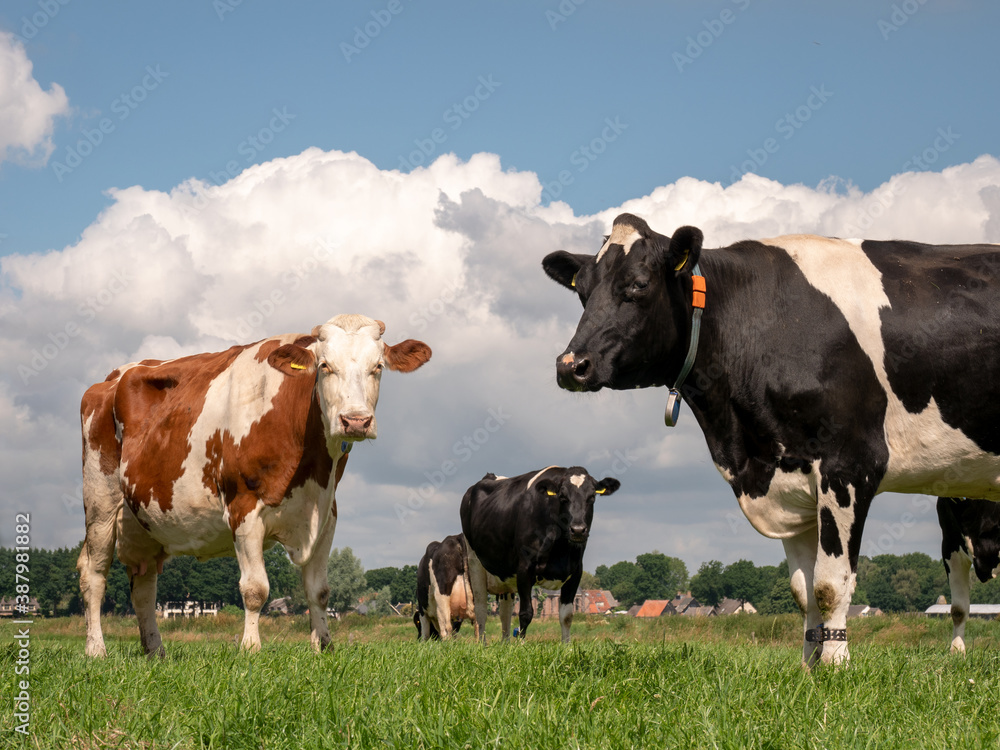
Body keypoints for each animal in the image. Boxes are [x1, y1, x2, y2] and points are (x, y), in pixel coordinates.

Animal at [77, 314, 430, 656]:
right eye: (325, 366)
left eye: (378, 366)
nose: (356, 421)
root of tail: (114, 376)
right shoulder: (244, 509)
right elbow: (255, 589)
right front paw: (250, 648)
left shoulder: (326, 514)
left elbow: (319, 590)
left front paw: (323, 646)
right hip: (100, 502)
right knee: (94, 574)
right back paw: (96, 649)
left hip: (143, 517)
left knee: (144, 587)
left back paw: (155, 650)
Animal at [458, 468, 616, 644]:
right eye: (562, 497)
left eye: (592, 497)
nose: (578, 530)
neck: (560, 549)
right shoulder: (524, 568)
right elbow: (526, 613)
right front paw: (521, 644)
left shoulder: (575, 572)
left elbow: (567, 616)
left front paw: (567, 646)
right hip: (475, 564)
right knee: (480, 608)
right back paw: (482, 643)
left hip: (505, 575)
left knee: (505, 612)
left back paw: (505, 643)